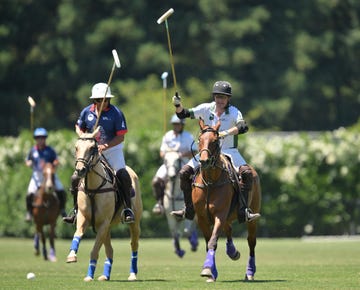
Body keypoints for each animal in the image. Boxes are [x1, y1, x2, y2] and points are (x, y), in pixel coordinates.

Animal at [66, 128, 142, 282]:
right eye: (76, 147)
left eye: (92, 148)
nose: (80, 170)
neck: (93, 188)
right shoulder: (84, 218)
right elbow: (77, 234)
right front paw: (71, 256)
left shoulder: (103, 223)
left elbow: (94, 251)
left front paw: (89, 276)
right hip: (108, 226)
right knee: (110, 249)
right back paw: (105, 275)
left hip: (134, 222)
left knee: (134, 245)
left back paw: (132, 274)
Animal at [193, 119, 260, 282]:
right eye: (200, 139)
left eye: (215, 141)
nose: (204, 161)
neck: (210, 182)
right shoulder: (202, 218)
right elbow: (209, 242)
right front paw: (211, 272)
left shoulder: (220, 214)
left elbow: (213, 241)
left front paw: (207, 269)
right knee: (228, 229)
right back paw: (232, 251)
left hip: (253, 213)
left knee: (251, 241)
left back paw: (250, 272)